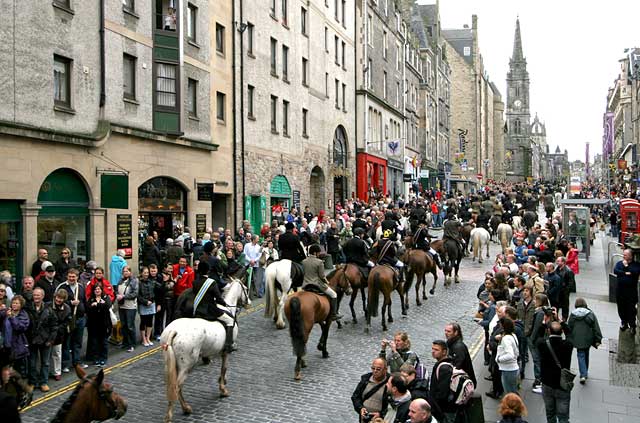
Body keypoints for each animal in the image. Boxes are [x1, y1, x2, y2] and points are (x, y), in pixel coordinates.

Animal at [160, 278, 250, 423]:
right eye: (246, 288)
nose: (249, 302)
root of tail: (174, 331)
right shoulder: (225, 352)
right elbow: (224, 368)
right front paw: (223, 389)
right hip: (187, 366)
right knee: (177, 387)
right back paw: (179, 411)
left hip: (170, 364)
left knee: (172, 387)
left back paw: (180, 410)